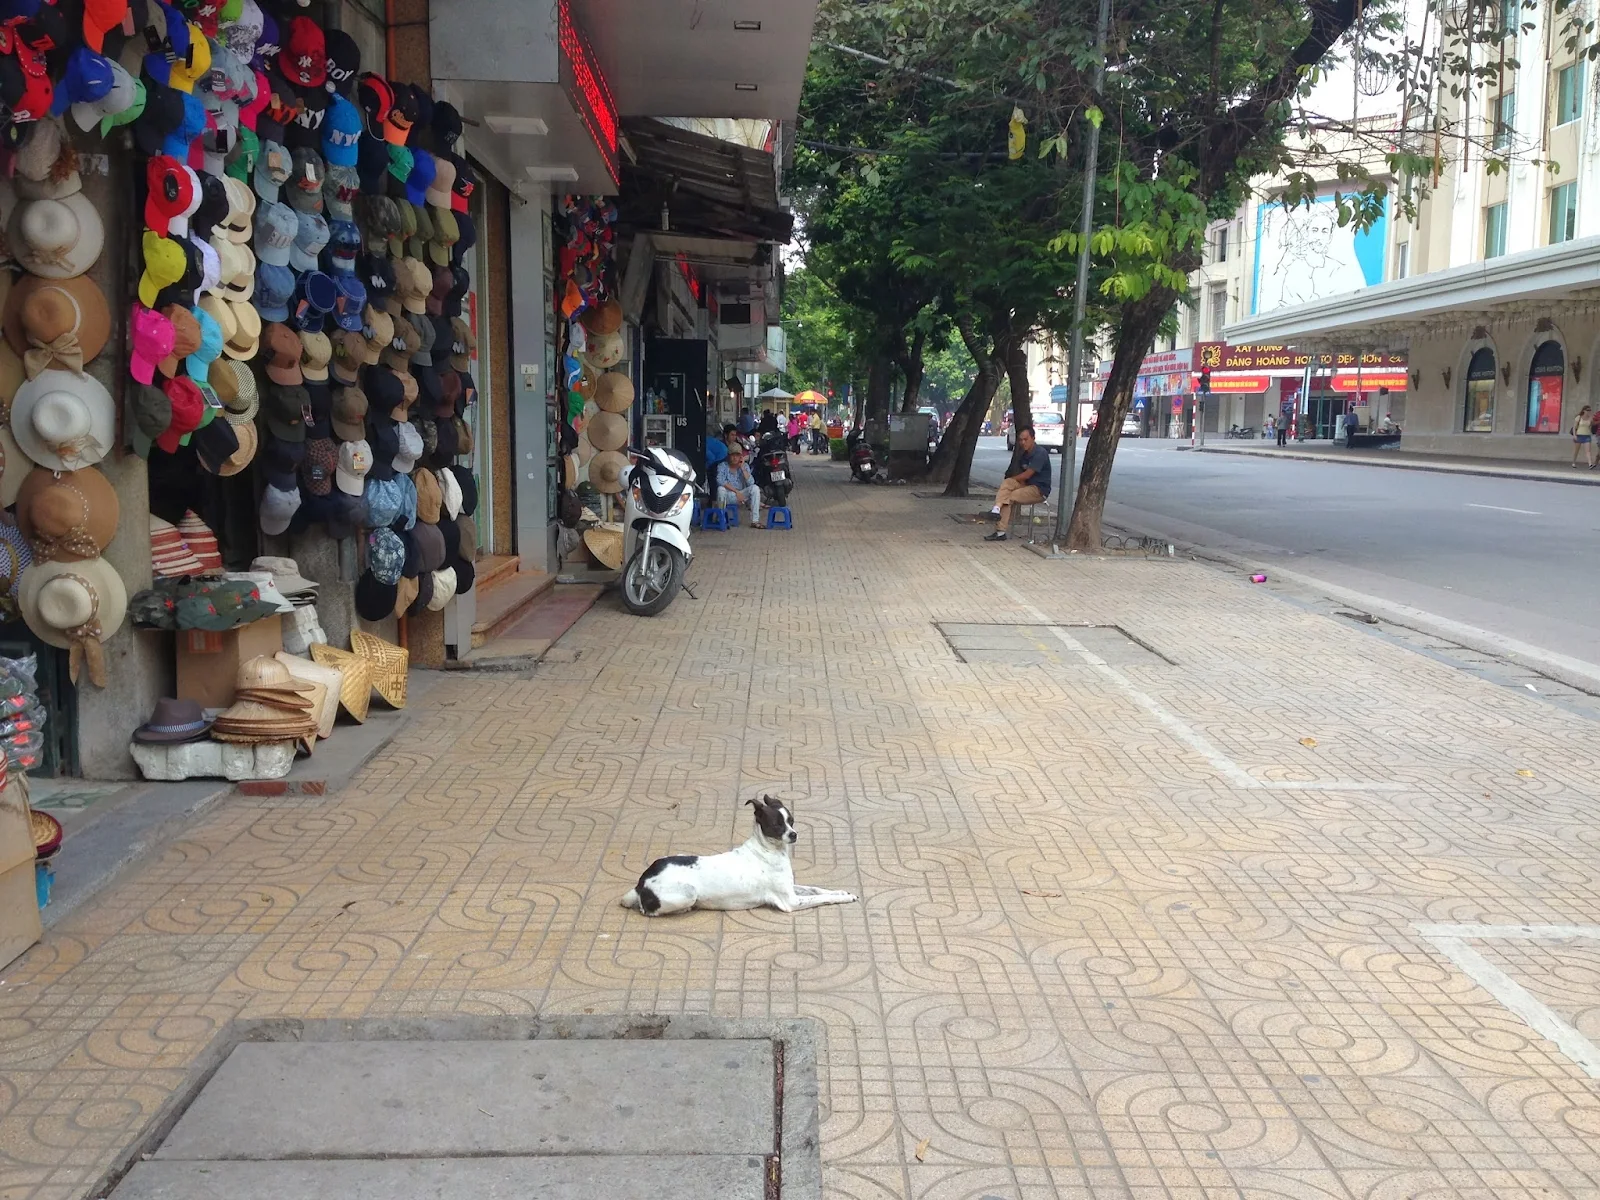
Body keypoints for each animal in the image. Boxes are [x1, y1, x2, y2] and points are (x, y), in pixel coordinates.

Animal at [617, 800, 857, 921]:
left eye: (791, 820)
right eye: (776, 825)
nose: (794, 835)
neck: (766, 850)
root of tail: (641, 883)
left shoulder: (791, 888)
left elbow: (817, 889)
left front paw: (844, 892)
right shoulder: (790, 902)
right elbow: (822, 898)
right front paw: (843, 898)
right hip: (688, 893)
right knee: (647, 910)